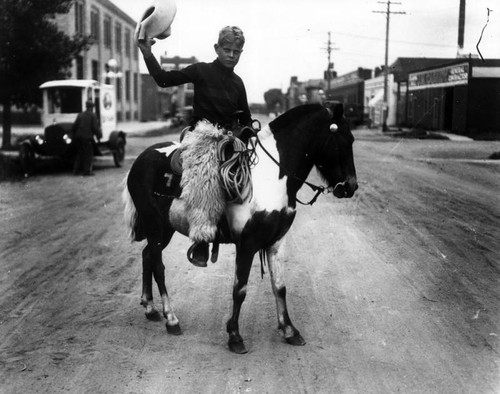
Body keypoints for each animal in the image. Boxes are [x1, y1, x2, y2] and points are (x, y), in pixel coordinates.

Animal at [122, 103, 358, 352]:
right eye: (344, 140)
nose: (351, 186)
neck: (272, 177)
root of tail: (140, 160)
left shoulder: (276, 242)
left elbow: (279, 286)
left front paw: (289, 330)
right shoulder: (247, 244)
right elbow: (240, 289)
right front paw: (234, 335)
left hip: (164, 229)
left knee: (147, 255)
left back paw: (150, 308)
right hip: (154, 225)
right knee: (158, 266)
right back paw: (171, 319)